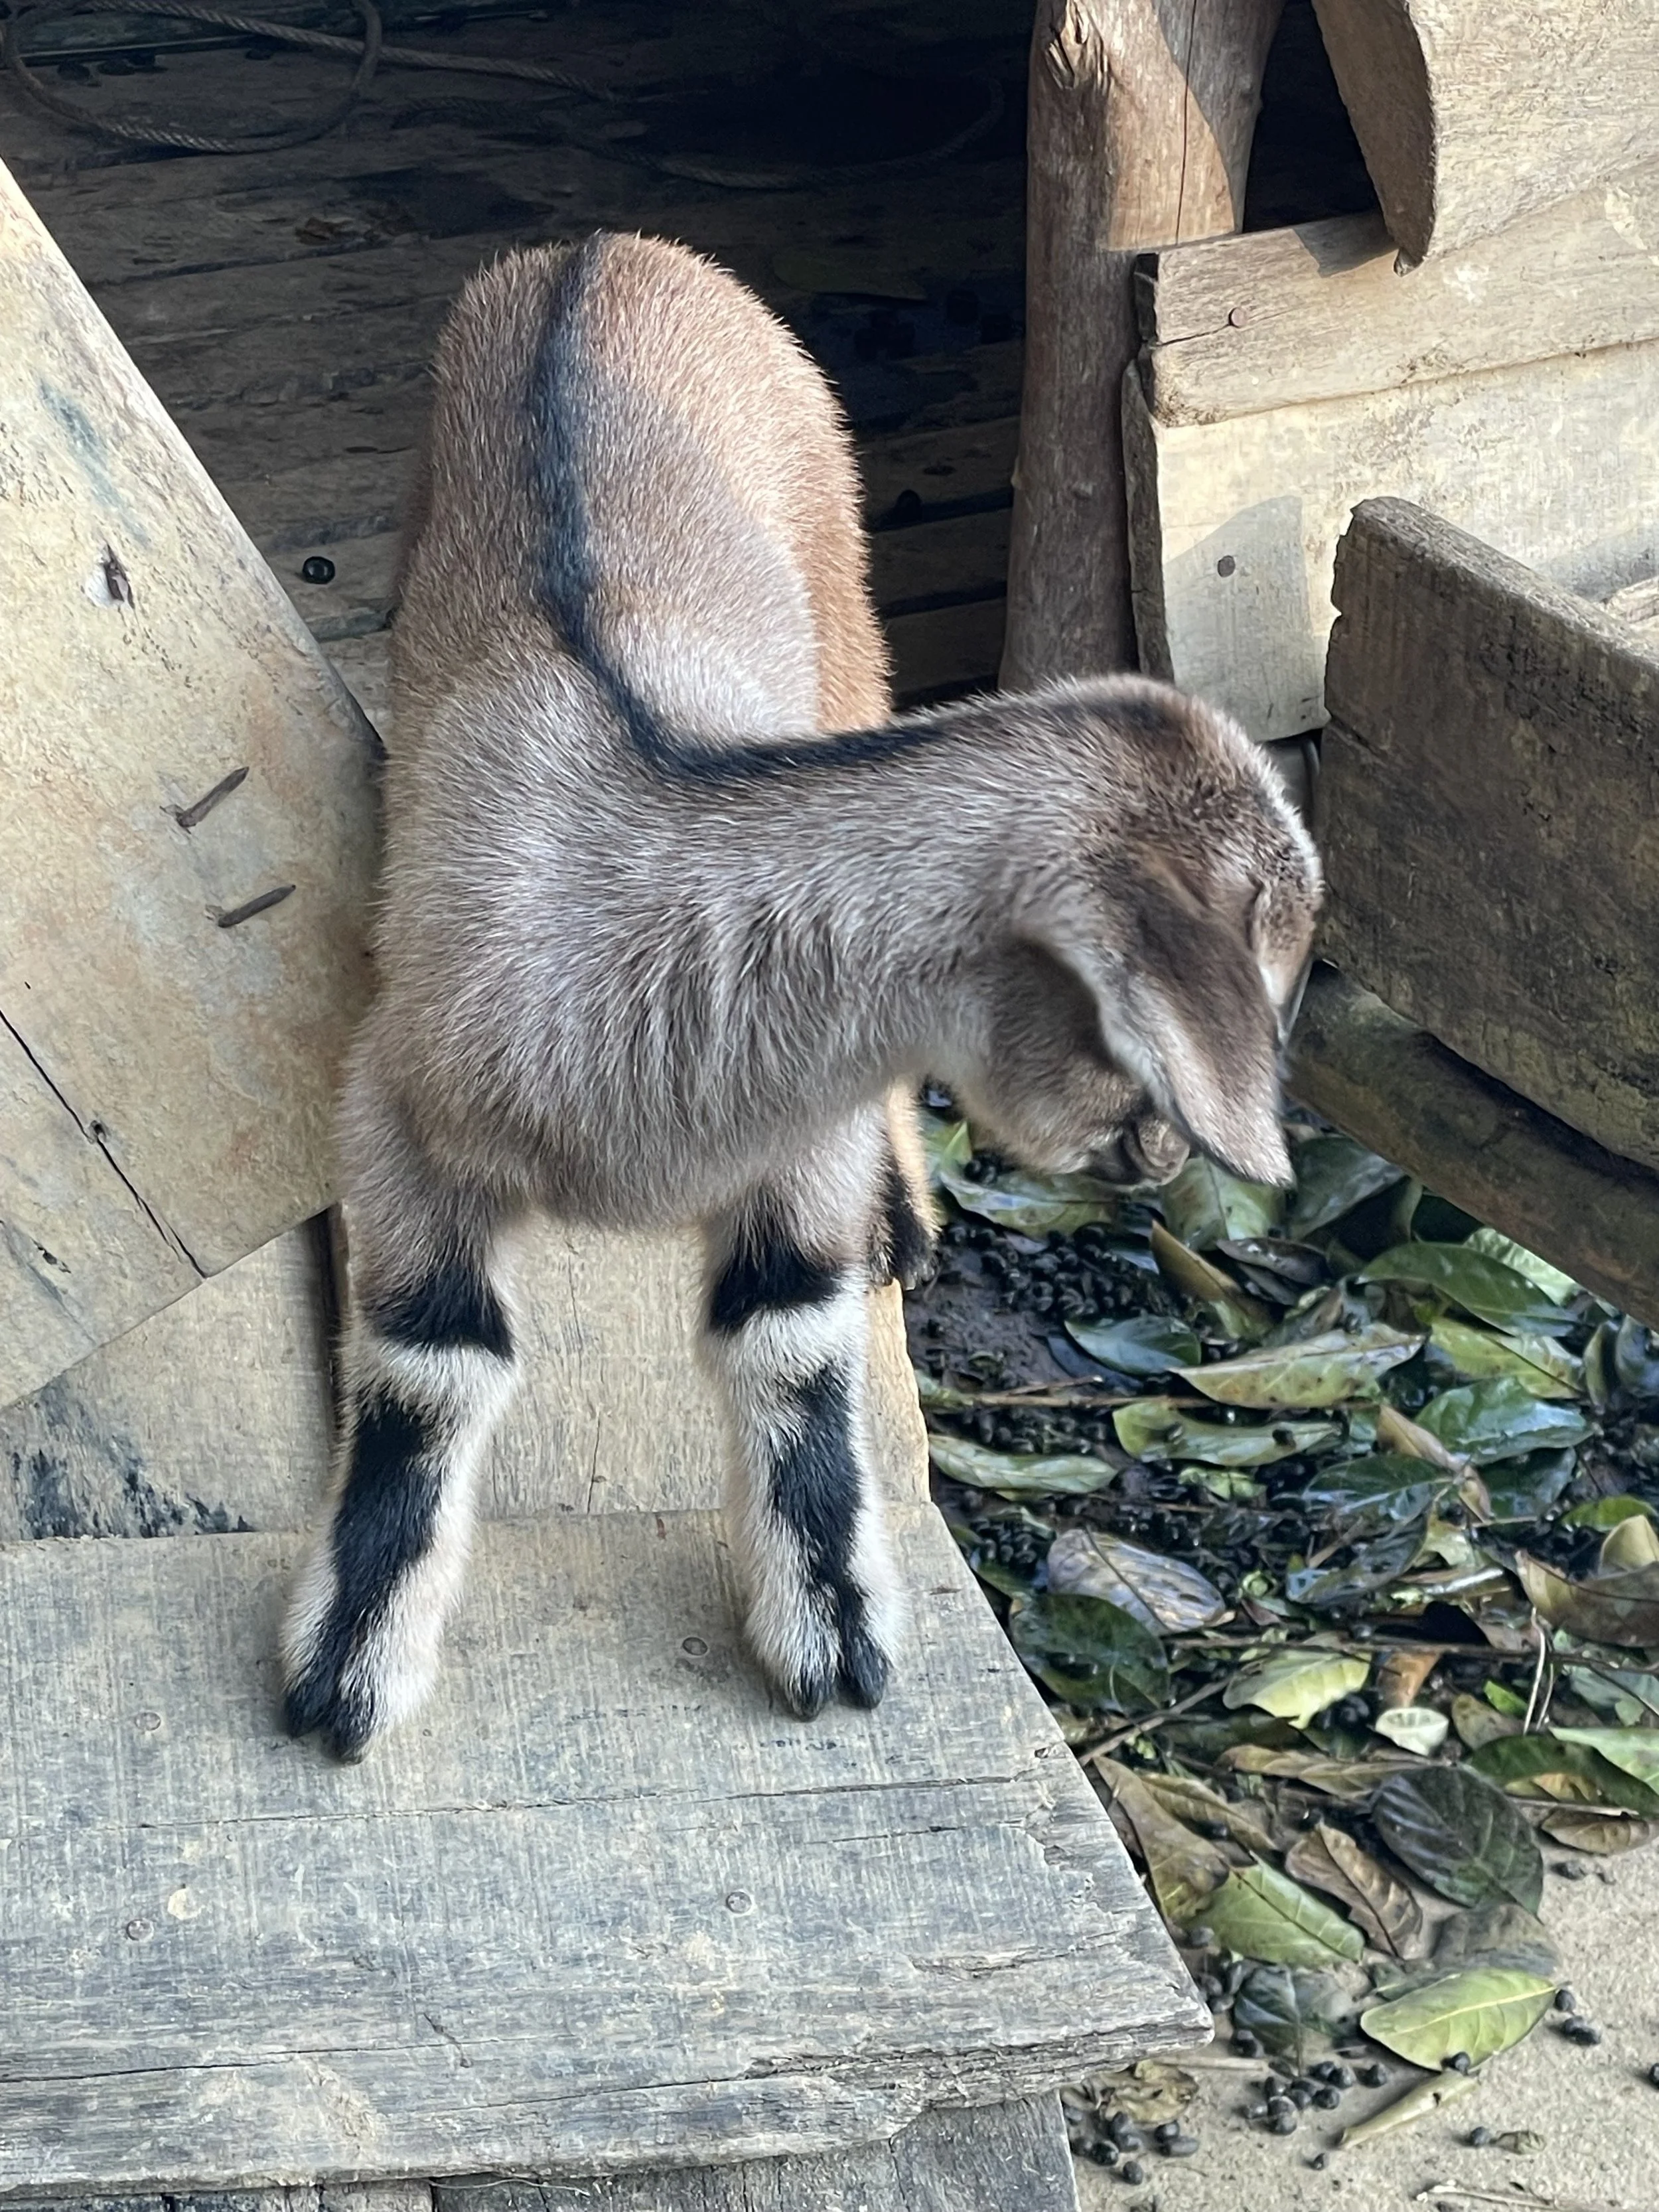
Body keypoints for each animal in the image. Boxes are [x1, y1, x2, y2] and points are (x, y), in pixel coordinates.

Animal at [281, 231, 1323, 1759]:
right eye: (1148, 1051)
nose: (1152, 1160)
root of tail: (600, 249)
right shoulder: (397, 1118)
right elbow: (427, 1370)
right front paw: (348, 1664)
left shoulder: (802, 1145)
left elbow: (793, 1346)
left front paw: (831, 1629)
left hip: (837, 588)